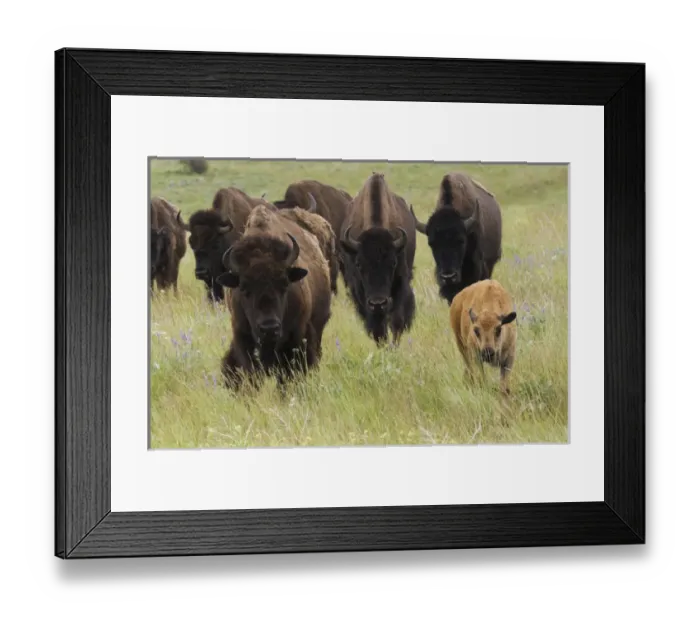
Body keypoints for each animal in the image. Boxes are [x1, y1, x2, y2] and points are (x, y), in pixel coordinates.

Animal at [339, 172, 417, 346]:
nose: (378, 303)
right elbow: (377, 327)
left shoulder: (400, 283)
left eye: (393, 263)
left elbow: (396, 320)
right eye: (359, 264)